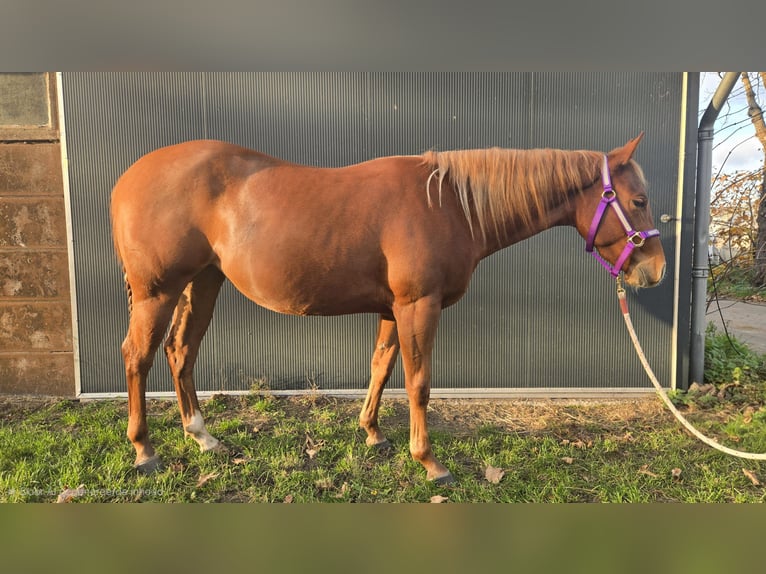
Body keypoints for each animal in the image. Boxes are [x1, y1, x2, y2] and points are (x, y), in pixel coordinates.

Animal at [110, 133, 665, 484]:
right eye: (638, 200)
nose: (655, 271)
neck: (448, 203)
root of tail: (127, 179)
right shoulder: (419, 306)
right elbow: (418, 383)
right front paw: (430, 462)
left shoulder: (392, 309)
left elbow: (381, 366)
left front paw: (372, 433)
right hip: (158, 292)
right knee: (138, 357)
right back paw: (144, 450)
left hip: (202, 284)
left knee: (181, 352)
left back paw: (203, 437)